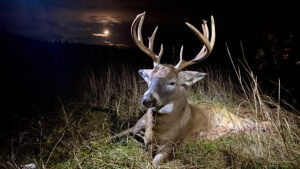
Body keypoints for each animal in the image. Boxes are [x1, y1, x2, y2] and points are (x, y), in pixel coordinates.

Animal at [108, 12, 270, 166]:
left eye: (172, 82)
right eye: (149, 79)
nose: (147, 99)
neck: (155, 131)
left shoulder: (172, 144)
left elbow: (153, 162)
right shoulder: (134, 127)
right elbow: (110, 137)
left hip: (236, 121)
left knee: (257, 123)